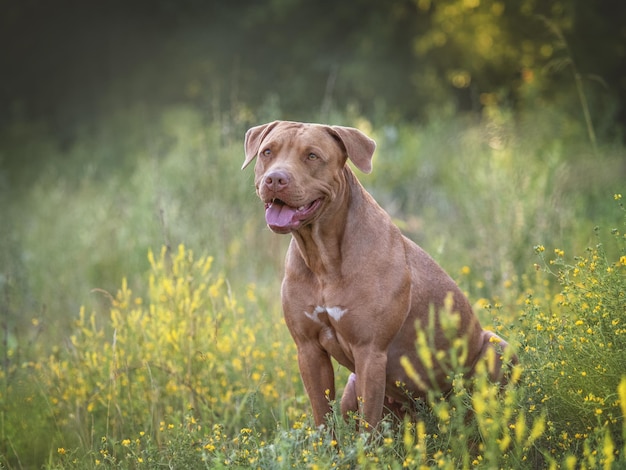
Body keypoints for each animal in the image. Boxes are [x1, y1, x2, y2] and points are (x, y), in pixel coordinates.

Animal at [241, 119, 516, 428]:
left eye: (312, 156)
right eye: (267, 152)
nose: (275, 179)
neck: (323, 258)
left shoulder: (370, 351)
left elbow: (368, 426)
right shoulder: (309, 349)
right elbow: (323, 417)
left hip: (497, 347)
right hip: (352, 384)